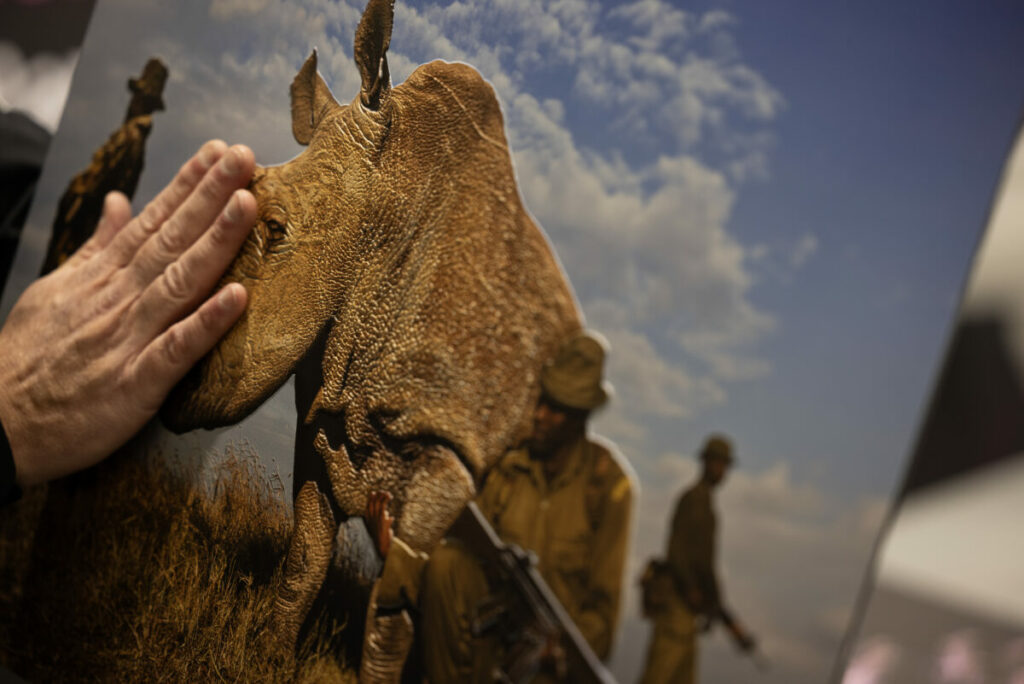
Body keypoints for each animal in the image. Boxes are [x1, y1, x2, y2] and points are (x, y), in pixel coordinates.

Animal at [162, 0, 580, 674]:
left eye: (275, 227)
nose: (173, 388)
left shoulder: (452, 449)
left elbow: (390, 613)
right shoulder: (322, 410)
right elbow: (305, 559)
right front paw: (269, 658)